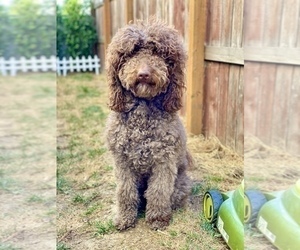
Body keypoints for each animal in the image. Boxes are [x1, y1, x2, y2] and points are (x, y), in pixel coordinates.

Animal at [105, 19, 191, 230]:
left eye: (159, 53)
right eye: (131, 53)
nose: (144, 74)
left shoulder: (164, 161)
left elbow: (158, 191)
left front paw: (157, 218)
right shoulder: (122, 162)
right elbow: (125, 191)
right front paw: (124, 217)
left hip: (181, 184)